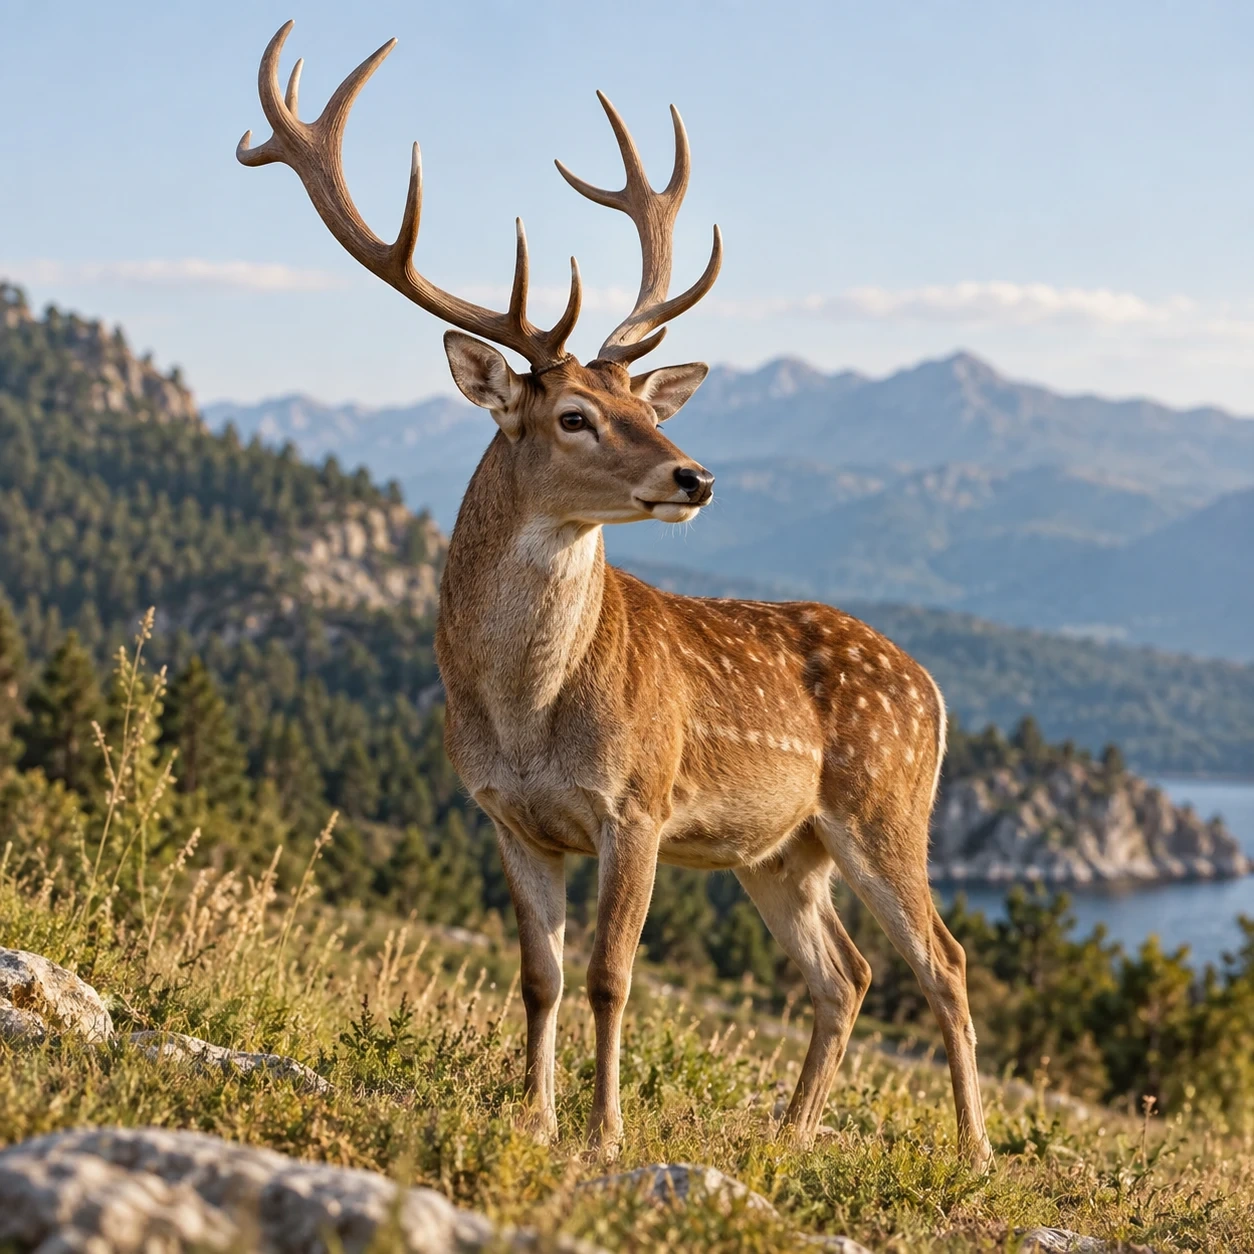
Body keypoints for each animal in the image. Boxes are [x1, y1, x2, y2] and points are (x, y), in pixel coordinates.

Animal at [238, 21, 992, 1171]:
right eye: (575, 417)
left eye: (646, 405)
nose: (695, 476)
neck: (524, 714)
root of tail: (933, 688)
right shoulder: (505, 816)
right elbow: (539, 978)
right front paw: (537, 1118)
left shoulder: (635, 802)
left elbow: (610, 976)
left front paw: (603, 1135)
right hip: (782, 849)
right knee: (847, 973)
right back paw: (788, 1138)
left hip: (885, 802)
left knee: (942, 961)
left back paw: (976, 1153)